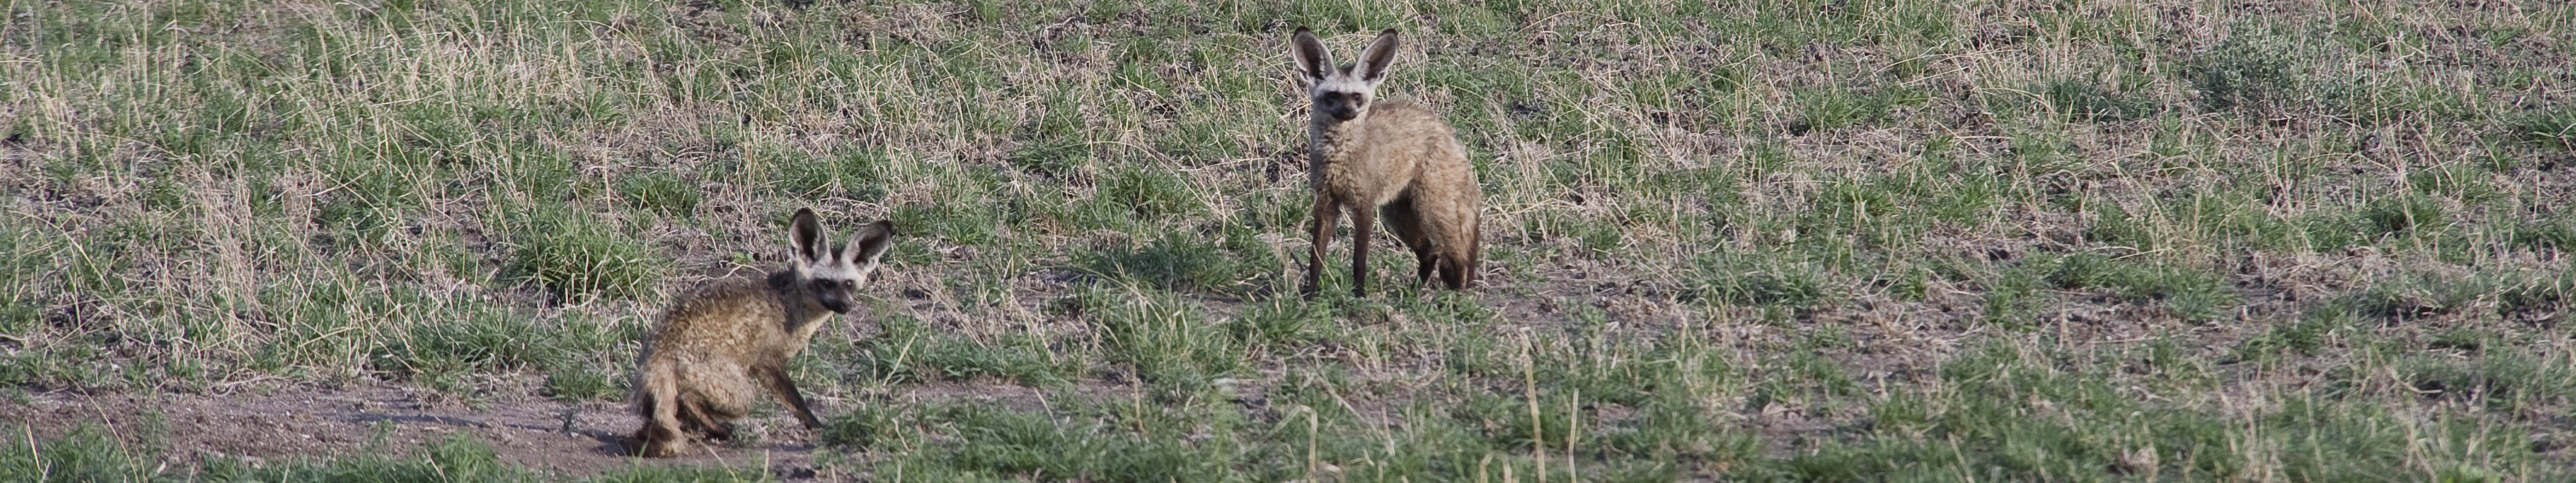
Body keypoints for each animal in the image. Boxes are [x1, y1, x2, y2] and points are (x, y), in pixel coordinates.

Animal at [633, 208, 896, 457]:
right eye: (826, 283)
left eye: (849, 284)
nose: (846, 306)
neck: (787, 304)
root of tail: (659, 352)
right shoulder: (767, 362)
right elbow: (797, 402)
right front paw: (817, 426)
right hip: (743, 394)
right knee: (687, 399)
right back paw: (721, 429)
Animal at [1298, 28, 1484, 297]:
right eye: (1333, 96)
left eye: (1357, 97)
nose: (1348, 112)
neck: (1338, 158)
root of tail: (1449, 133)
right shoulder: (1325, 204)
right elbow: (1316, 259)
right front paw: (1310, 296)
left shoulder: (1364, 206)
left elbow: (1359, 261)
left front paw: (1359, 296)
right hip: (1399, 215)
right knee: (1430, 254)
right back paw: (1412, 294)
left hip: (1431, 212)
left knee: (1457, 258)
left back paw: (1457, 297)